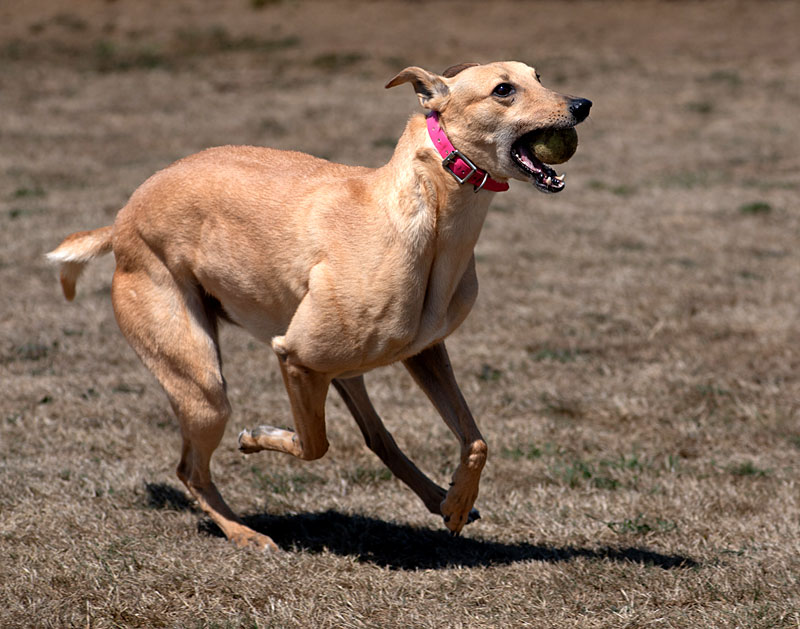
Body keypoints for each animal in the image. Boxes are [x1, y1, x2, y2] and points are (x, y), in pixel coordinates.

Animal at [47, 60, 592, 548]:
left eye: (538, 77)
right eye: (503, 89)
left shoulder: (424, 352)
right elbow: (313, 445)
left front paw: (457, 503)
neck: (425, 215)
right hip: (204, 387)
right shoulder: (296, 358)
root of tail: (121, 221)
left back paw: (438, 497)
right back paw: (245, 533)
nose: (582, 105)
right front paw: (256, 437)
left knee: (378, 438)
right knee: (190, 469)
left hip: (343, 372)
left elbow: (475, 440)